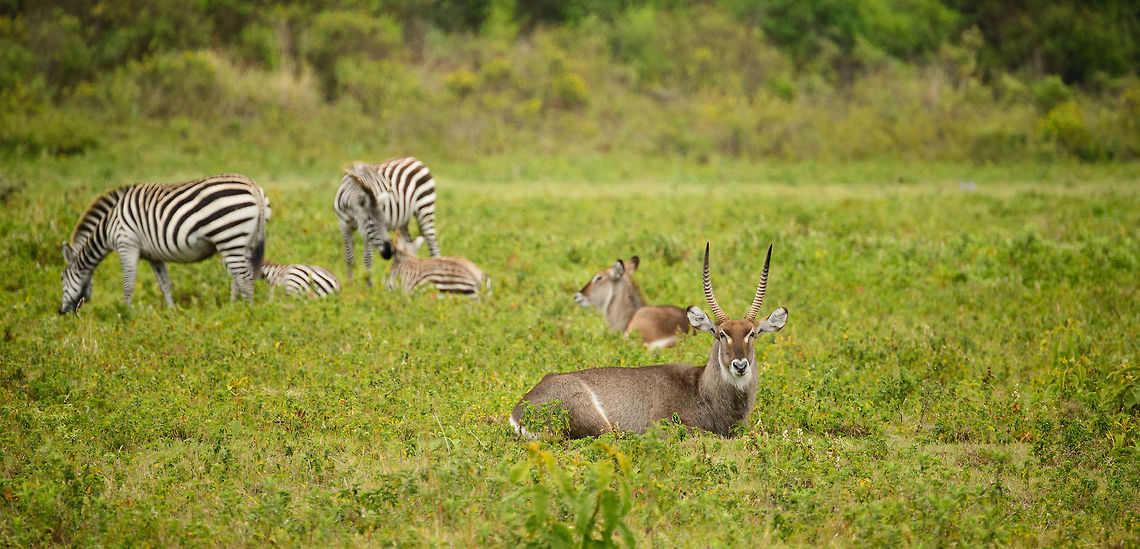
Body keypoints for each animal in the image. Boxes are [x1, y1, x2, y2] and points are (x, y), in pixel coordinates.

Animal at [59, 174, 271, 314]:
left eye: (62, 278)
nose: (61, 312)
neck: (108, 224)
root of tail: (252, 186)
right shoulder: (154, 256)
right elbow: (164, 284)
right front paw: (172, 312)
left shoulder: (126, 244)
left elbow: (128, 283)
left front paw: (125, 313)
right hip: (243, 241)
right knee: (240, 276)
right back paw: (234, 307)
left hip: (229, 236)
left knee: (244, 277)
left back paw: (247, 312)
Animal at [334, 157, 440, 285]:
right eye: (371, 224)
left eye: (385, 223)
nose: (389, 253)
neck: (351, 213)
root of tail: (414, 159)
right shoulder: (344, 227)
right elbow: (349, 258)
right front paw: (350, 284)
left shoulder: (366, 235)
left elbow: (367, 258)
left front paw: (369, 286)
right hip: (403, 221)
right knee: (410, 247)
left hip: (425, 209)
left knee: (433, 246)